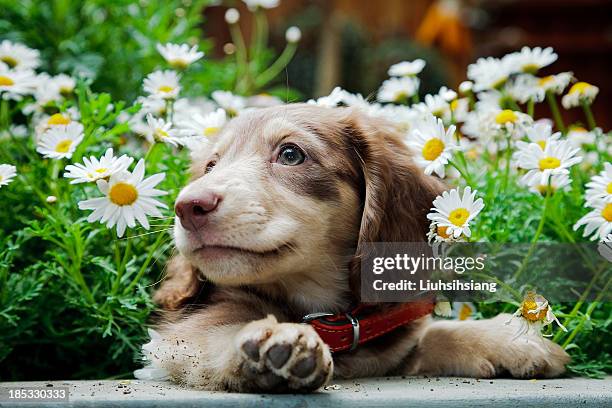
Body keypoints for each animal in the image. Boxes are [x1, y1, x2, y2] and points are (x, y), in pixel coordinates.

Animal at [140, 104, 568, 392]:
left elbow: (435, 334)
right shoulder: (179, 337)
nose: (187, 207)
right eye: (210, 166)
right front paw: (271, 345)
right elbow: (221, 330)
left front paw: (510, 339)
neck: (328, 316)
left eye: (291, 154)